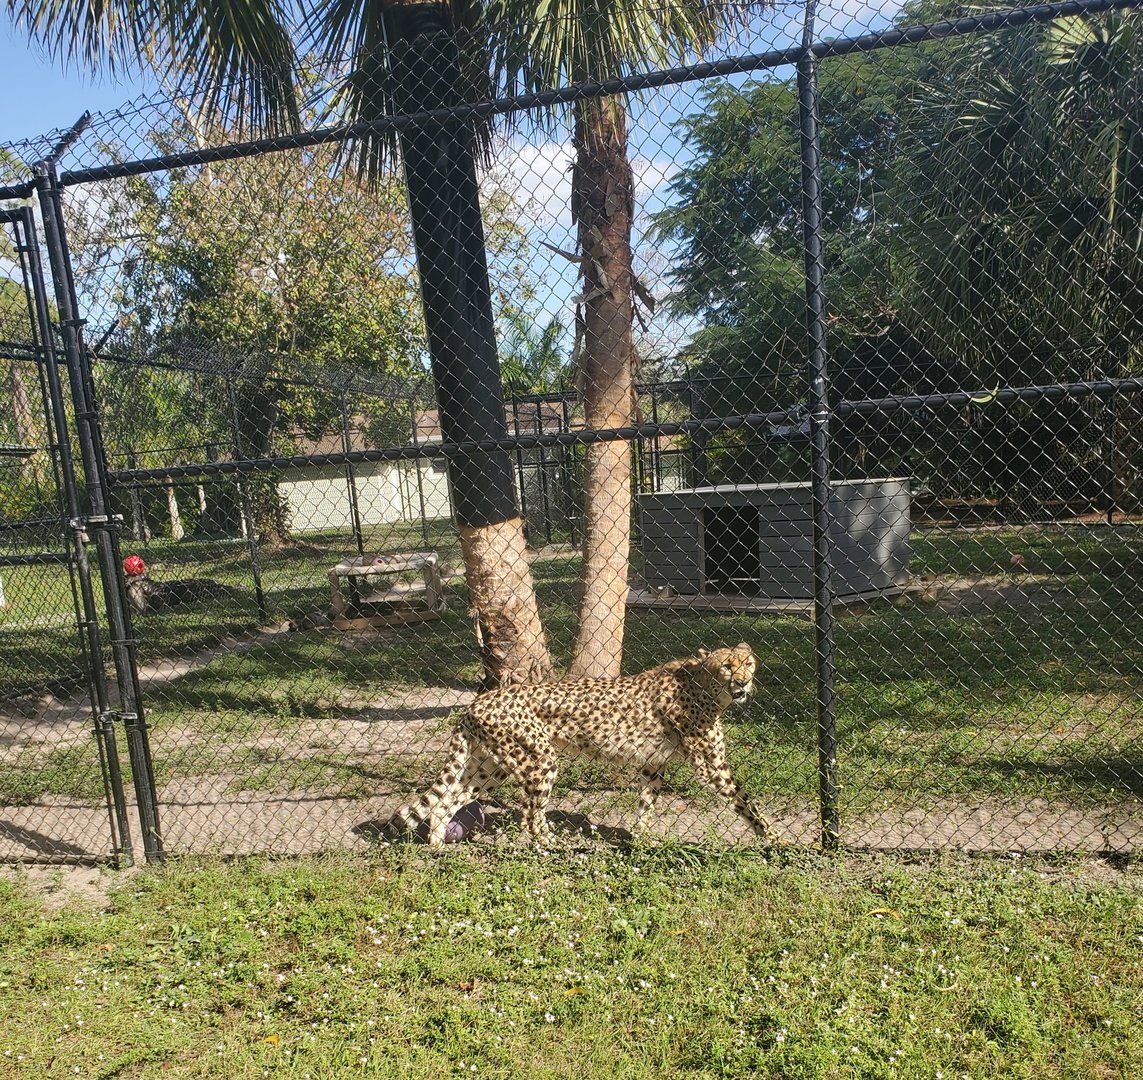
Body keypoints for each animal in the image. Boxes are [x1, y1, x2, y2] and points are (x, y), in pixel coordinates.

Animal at [395, 642, 777, 848]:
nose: (743, 683)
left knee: (444, 804)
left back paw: (439, 848)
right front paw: (775, 840)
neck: (701, 686)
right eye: (726, 666)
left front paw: (641, 840)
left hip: (491, 767)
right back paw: (551, 846)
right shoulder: (712, 766)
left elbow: (646, 805)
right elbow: (747, 803)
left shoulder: (653, 764)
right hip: (538, 760)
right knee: (529, 817)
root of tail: (476, 703)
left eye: (749, 663)